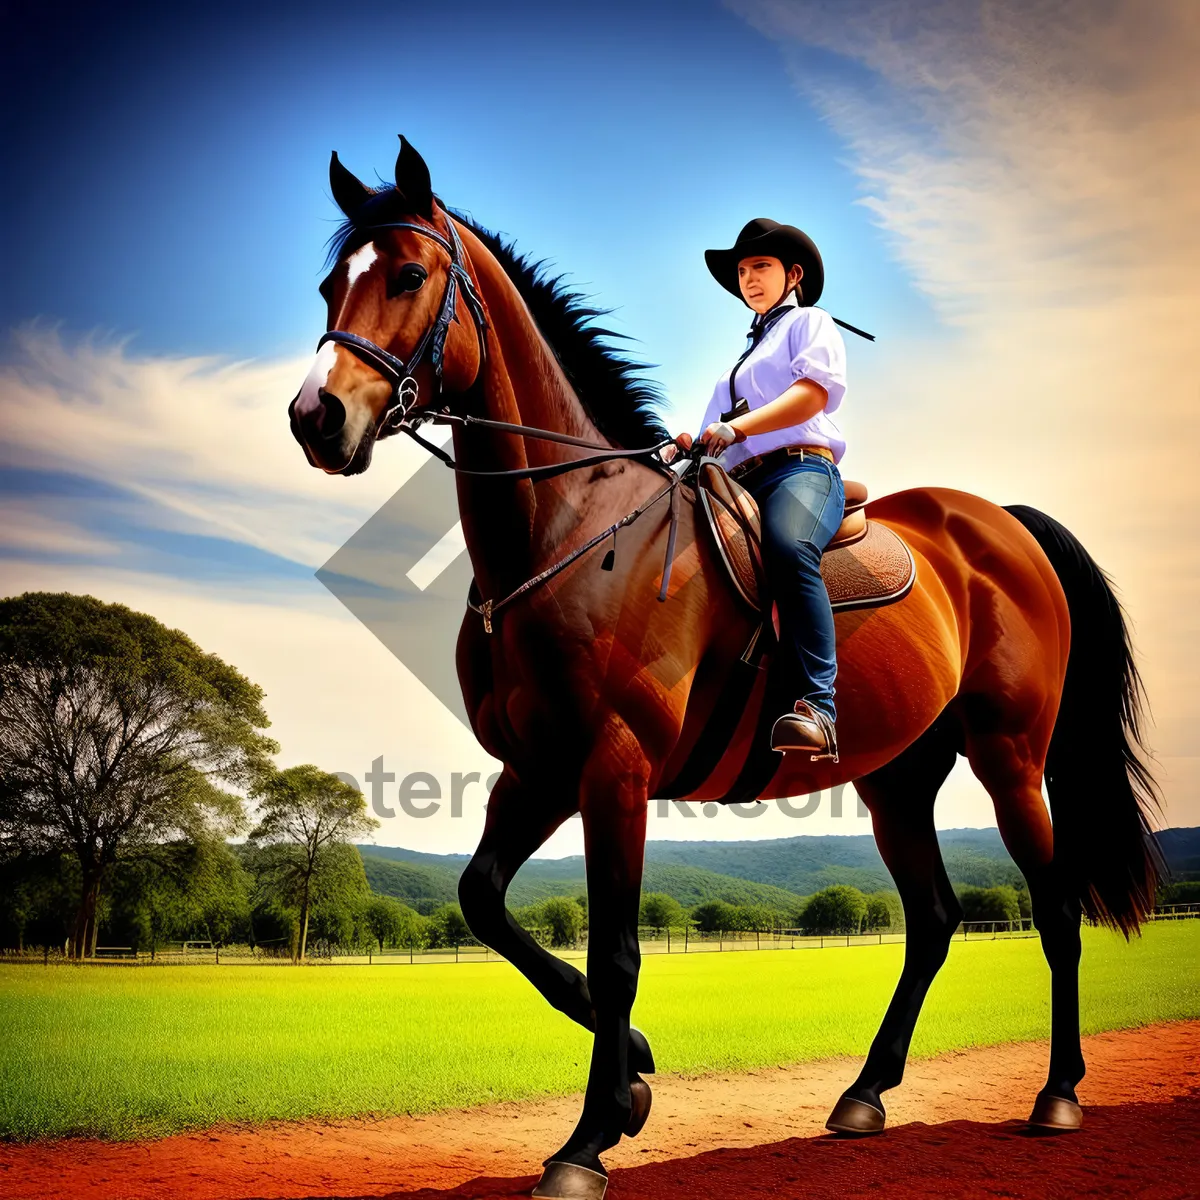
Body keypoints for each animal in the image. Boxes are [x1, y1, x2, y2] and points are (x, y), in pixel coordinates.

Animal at [288, 136, 1161, 1195]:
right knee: (934, 919)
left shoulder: (613, 768)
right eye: (330, 283)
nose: (316, 416)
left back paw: (1057, 1095)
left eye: (409, 276)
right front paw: (634, 1074)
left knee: (1056, 909)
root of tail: (1001, 523)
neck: (572, 527)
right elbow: (482, 902)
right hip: (898, 778)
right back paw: (865, 1095)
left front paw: (588, 1138)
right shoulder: (539, 770)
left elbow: (618, 952)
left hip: (1009, 757)